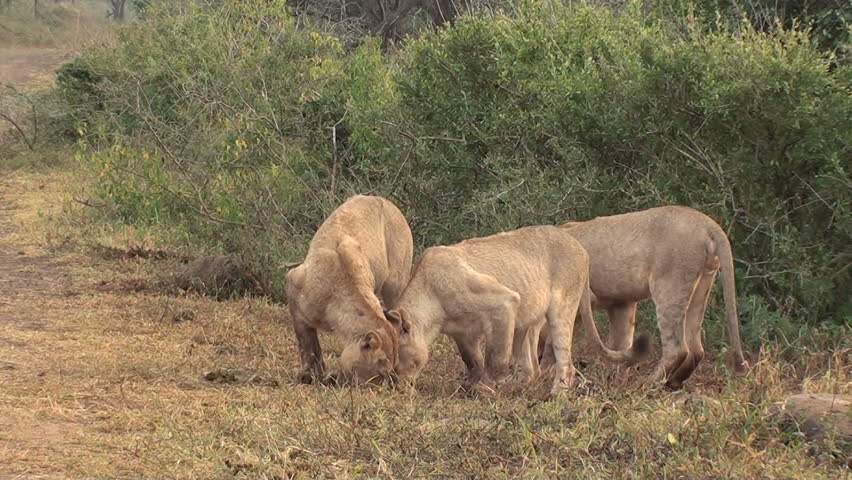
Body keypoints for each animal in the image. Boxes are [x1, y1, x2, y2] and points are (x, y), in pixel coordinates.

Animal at [286, 193, 412, 384]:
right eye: (381, 373)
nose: (387, 384)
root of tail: (386, 200)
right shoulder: (294, 287)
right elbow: (308, 344)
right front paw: (309, 375)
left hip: (396, 284)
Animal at [382, 225, 648, 394]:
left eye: (396, 360)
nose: (396, 385)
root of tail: (581, 248)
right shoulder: (462, 334)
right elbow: (473, 359)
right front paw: (474, 383)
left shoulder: (504, 302)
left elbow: (496, 357)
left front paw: (488, 388)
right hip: (526, 321)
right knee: (531, 368)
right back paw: (519, 386)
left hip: (560, 308)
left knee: (565, 361)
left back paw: (556, 393)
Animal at [544, 204, 748, 388]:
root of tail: (707, 223)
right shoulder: (622, 303)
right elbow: (621, 342)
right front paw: (613, 376)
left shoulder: (583, 301)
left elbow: (554, 341)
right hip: (701, 287)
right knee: (696, 349)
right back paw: (673, 382)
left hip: (669, 287)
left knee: (677, 348)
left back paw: (647, 383)